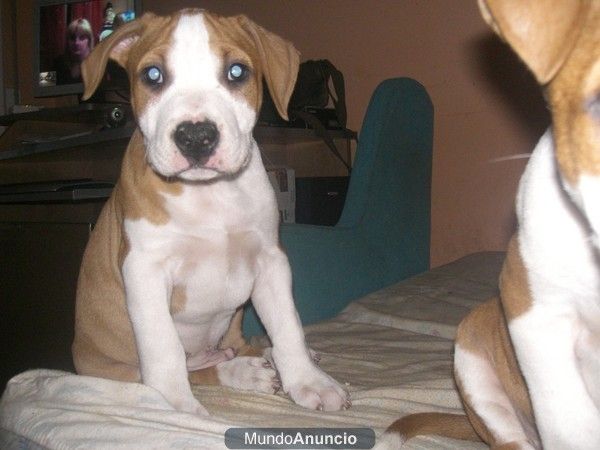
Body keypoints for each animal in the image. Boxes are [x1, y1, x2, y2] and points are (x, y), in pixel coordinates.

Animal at [70, 8, 352, 414]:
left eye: (236, 72)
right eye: (152, 75)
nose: (196, 137)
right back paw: (244, 371)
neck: (209, 195)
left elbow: (287, 325)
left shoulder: (270, 260)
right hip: (117, 368)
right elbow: (163, 348)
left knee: (238, 345)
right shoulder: (144, 269)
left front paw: (308, 381)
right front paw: (176, 407)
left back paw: (263, 360)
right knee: (191, 367)